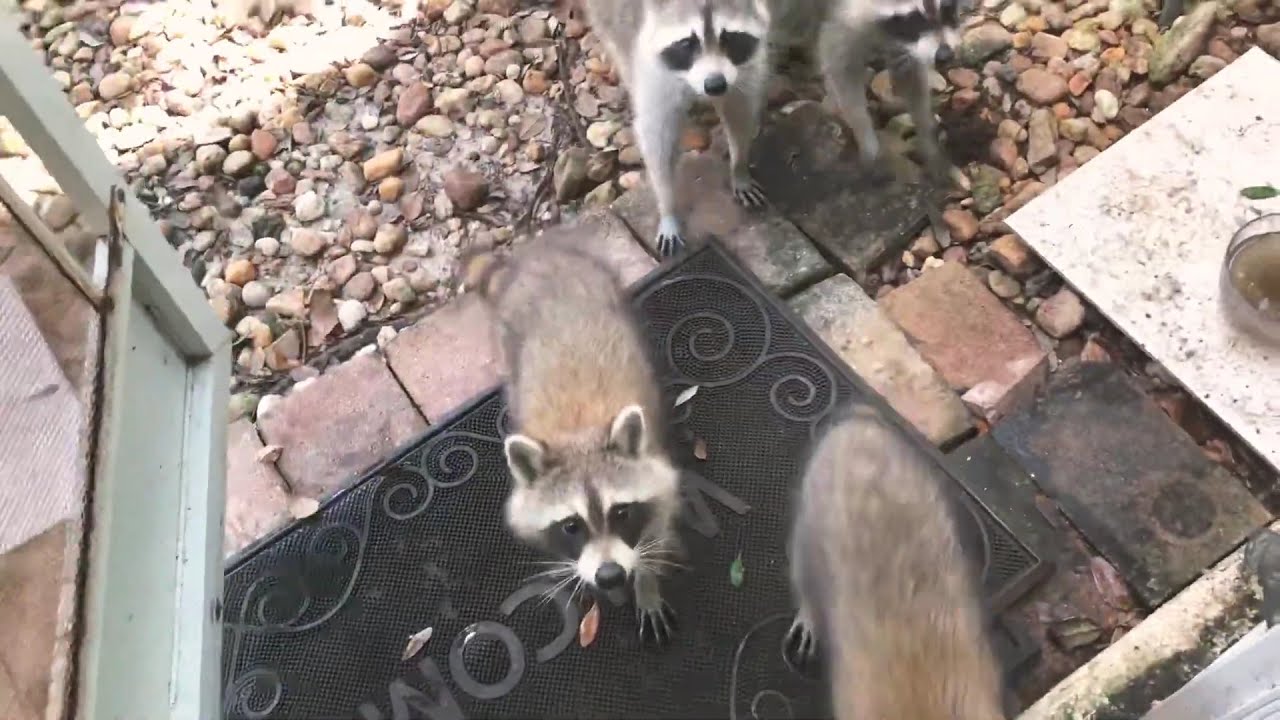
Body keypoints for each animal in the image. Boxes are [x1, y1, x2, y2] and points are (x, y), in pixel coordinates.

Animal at [463, 245, 684, 645]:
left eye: (621, 512)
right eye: (571, 526)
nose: (610, 576)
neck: (579, 433)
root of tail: (537, 257)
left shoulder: (656, 463)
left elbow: (656, 526)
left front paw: (646, 581)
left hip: (611, 289)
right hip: (506, 338)